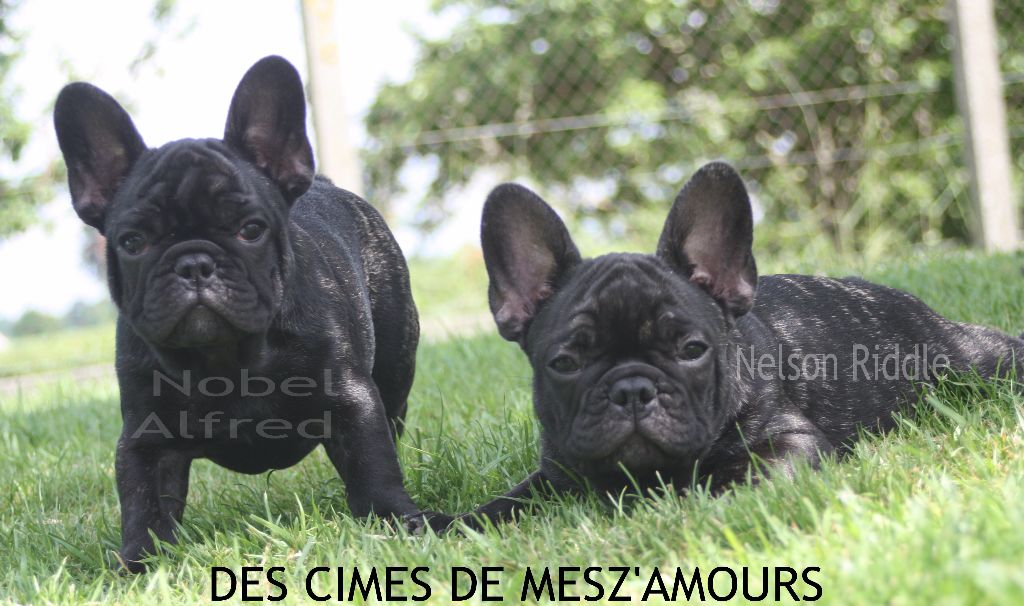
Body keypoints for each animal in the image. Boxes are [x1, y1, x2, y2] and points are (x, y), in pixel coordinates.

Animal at [54, 56, 430, 571]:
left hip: (395, 366)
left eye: (250, 230)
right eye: (133, 242)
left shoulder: (351, 402)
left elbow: (374, 466)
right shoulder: (146, 437)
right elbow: (143, 504)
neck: (225, 358)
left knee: (392, 420)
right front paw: (137, 566)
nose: (194, 263)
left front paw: (399, 521)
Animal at [462, 161, 1024, 525]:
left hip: (974, 362)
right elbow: (505, 505)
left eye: (692, 350)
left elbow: (744, 478)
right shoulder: (556, 474)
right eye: (565, 363)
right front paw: (458, 526)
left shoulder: (793, 443)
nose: (633, 390)